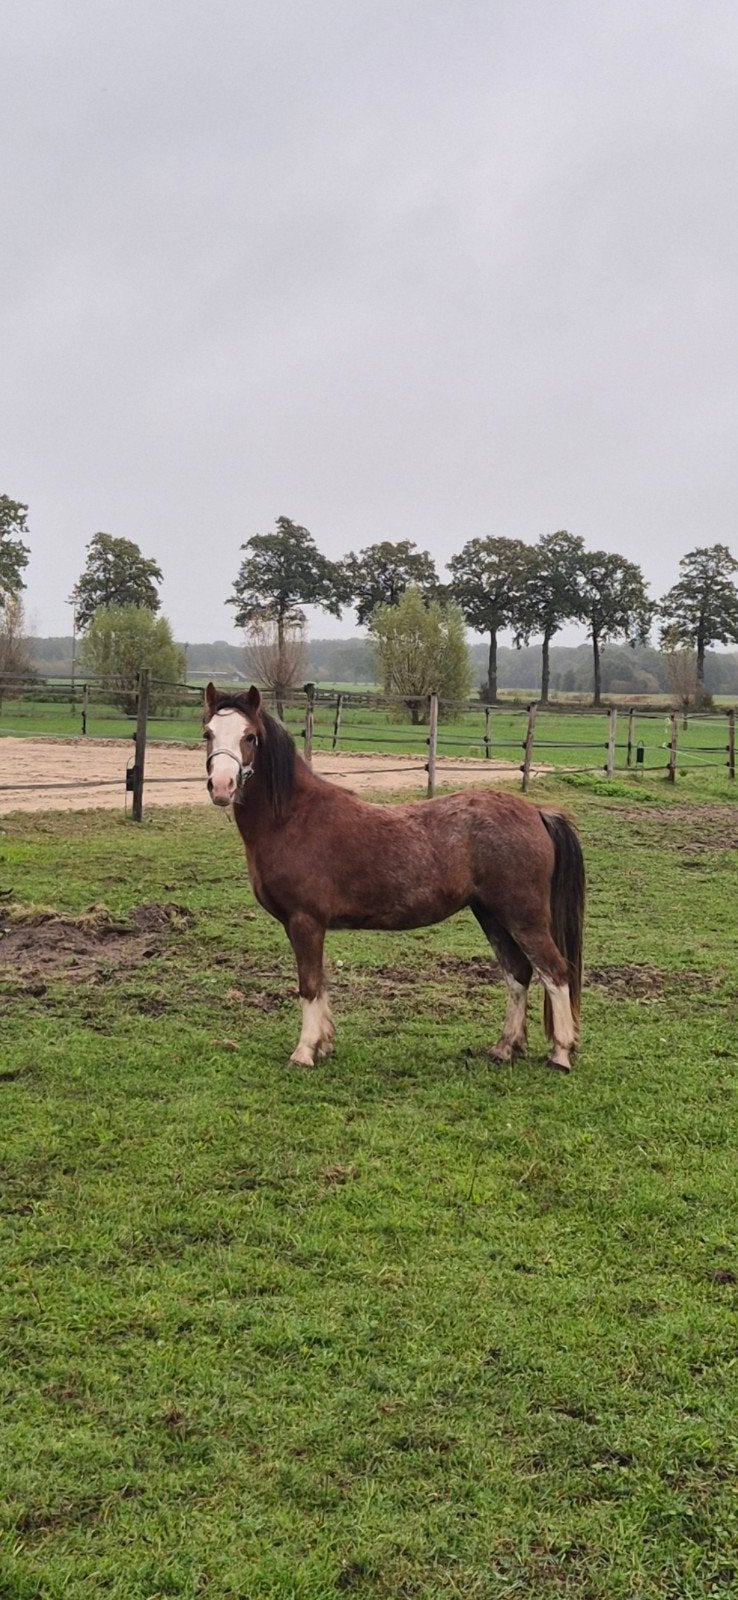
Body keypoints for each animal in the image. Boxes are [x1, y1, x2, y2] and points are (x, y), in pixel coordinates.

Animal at [203, 683, 585, 1072]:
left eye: (249, 736)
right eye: (208, 733)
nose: (221, 786)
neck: (294, 818)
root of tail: (536, 812)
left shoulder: (305, 921)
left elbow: (309, 985)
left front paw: (304, 1051)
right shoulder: (305, 925)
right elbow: (320, 983)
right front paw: (323, 1045)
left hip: (523, 918)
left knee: (555, 972)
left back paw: (561, 1053)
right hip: (491, 915)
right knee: (518, 973)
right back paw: (505, 1048)